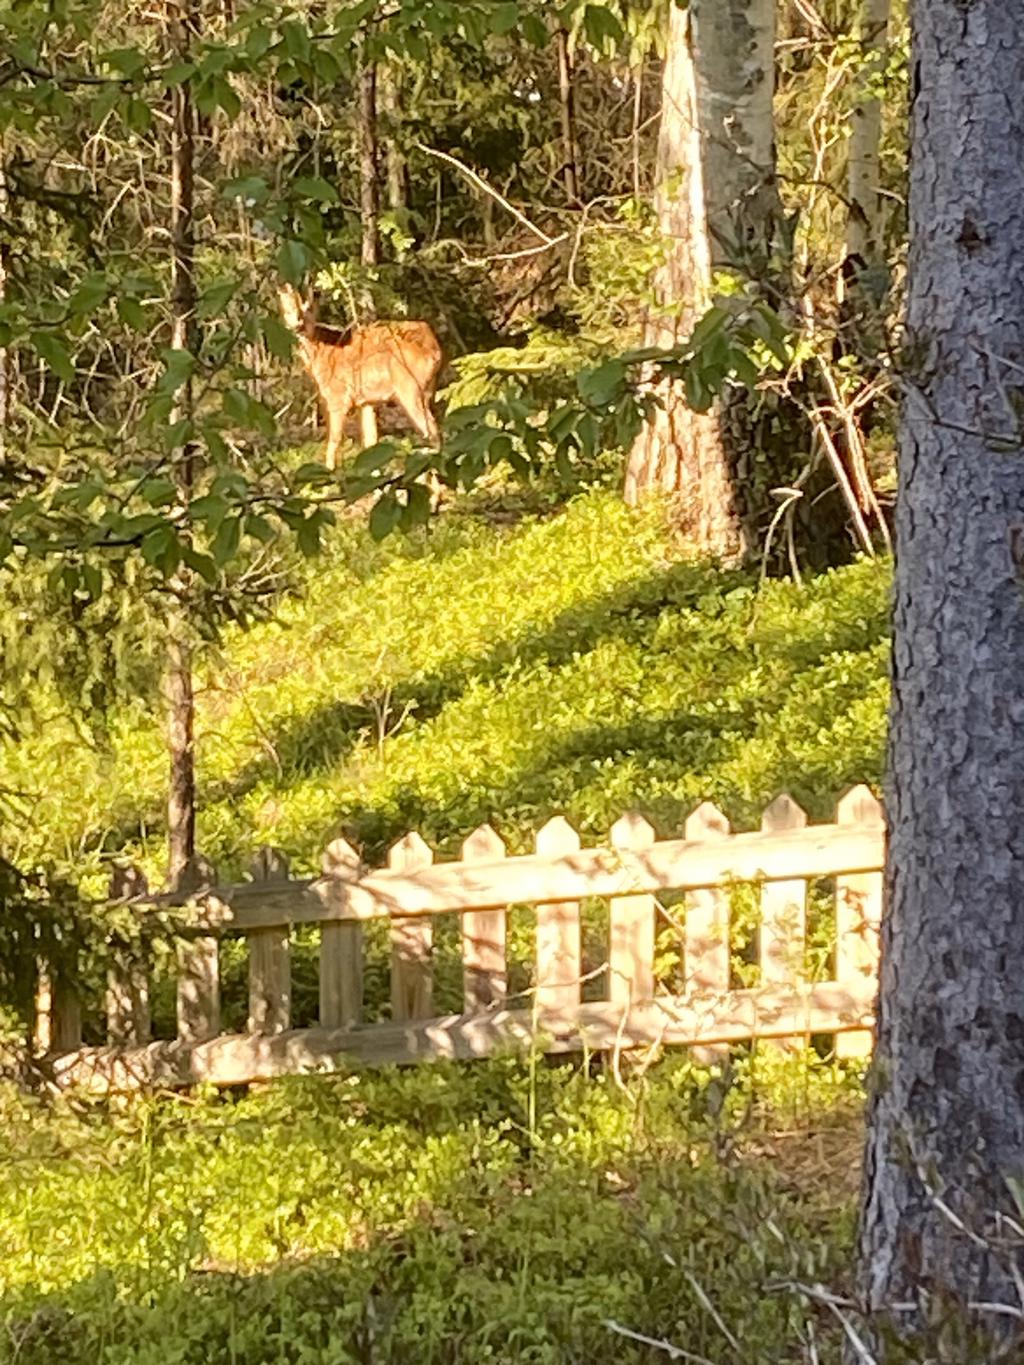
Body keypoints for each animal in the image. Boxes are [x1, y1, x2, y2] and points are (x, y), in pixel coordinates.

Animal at [278, 282, 442, 469]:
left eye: (308, 311)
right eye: (288, 311)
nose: (298, 325)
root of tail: (435, 350)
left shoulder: (337, 398)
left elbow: (333, 444)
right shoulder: (366, 402)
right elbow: (370, 444)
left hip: (410, 388)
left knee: (432, 430)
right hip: (427, 389)